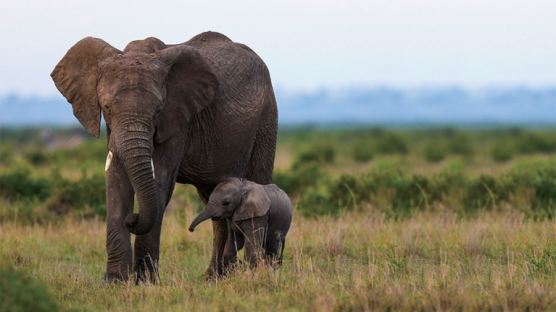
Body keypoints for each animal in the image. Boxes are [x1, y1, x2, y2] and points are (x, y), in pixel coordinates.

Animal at [51, 31, 278, 282]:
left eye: (158, 110)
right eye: (107, 107)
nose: (133, 219)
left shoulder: (179, 118)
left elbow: (161, 179)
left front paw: (145, 281)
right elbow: (116, 180)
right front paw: (114, 282)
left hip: (266, 119)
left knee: (258, 182)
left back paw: (256, 272)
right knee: (215, 201)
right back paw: (214, 277)